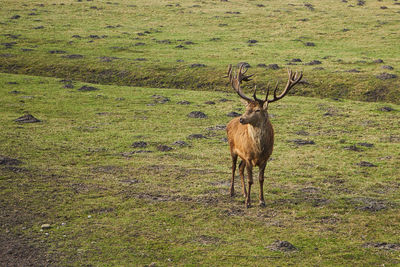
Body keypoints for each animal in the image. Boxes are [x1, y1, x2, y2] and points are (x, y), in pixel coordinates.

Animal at [227, 63, 302, 208]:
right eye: (247, 108)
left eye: (257, 110)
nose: (242, 119)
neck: (259, 150)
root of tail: (230, 123)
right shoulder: (248, 157)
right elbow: (251, 180)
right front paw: (248, 203)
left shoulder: (266, 157)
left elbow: (261, 179)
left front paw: (261, 201)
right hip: (232, 148)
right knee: (233, 167)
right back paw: (232, 192)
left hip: (242, 156)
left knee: (240, 168)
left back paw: (244, 193)